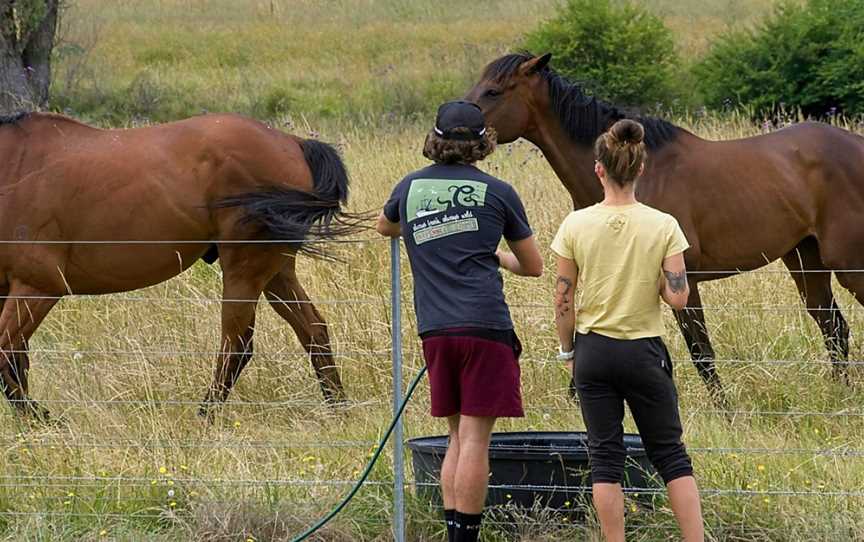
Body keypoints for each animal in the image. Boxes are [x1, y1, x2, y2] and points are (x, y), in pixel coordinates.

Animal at [0, 112, 358, 422]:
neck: (14, 169)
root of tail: (292, 142)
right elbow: (16, 361)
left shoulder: (39, 287)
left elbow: (4, 353)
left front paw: (42, 419)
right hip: (276, 272)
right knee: (313, 329)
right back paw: (338, 408)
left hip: (245, 268)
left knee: (238, 345)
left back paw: (205, 415)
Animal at [466, 53, 864, 406]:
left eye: (493, 91)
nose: (454, 132)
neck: (632, 184)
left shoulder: (682, 282)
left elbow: (701, 350)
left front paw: (724, 412)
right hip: (805, 260)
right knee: (833, 327)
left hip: (847, 265)